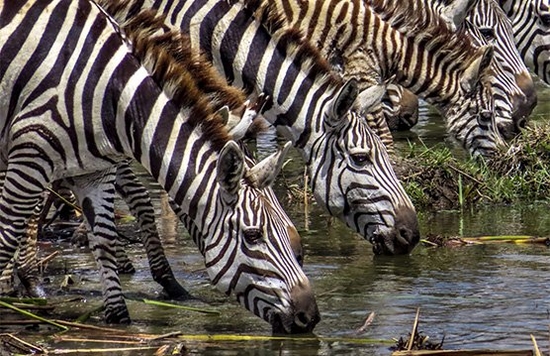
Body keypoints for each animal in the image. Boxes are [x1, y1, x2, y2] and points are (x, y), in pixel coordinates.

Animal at [0, 0, 324, 330]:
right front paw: (20, 285)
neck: (115, 97)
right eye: (253, 235)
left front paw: (121, 317)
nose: (309, 316)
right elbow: (8, 232)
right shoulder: (30, 153)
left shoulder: (95, 171)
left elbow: (104, 240)